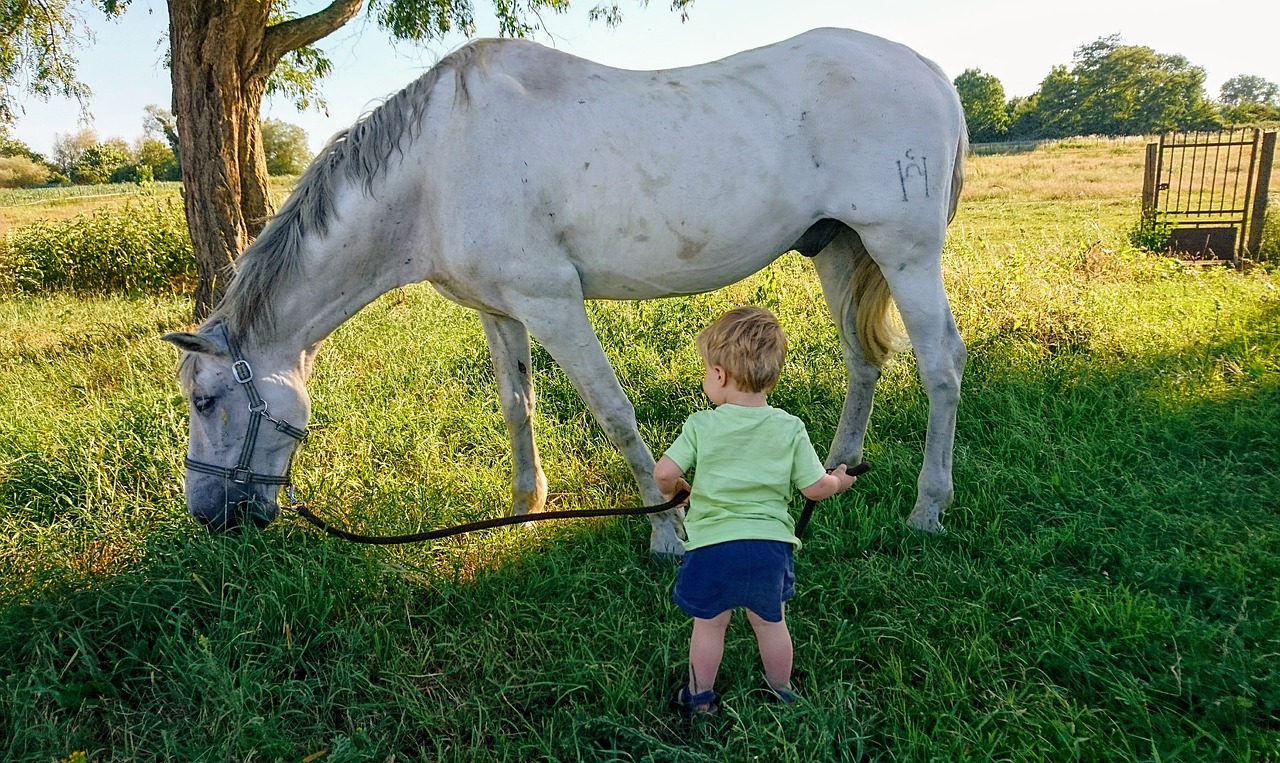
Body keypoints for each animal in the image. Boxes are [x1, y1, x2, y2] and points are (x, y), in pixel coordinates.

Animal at [160, 29, 962, 555]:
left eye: (205, 399)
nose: (207, 513)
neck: (436, 170)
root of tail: (928, 69)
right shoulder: (500, 312)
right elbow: (518, 407)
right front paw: (524, 507)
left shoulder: (552, 304)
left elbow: (613, 412)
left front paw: (666, 531)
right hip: (842, 249)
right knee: (864, 360)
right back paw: (834, 473)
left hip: (905, 252)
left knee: (941, 366)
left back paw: (928, 509)